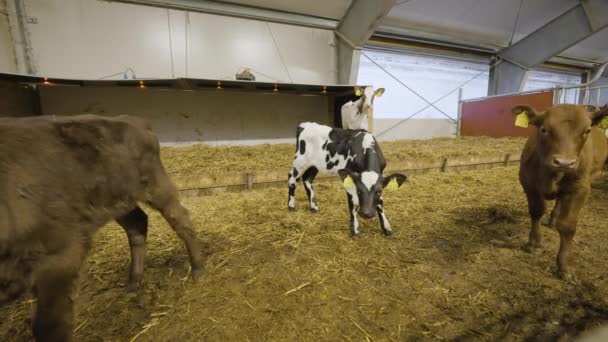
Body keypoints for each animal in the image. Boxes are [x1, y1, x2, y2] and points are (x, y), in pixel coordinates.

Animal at [0, 115, 204, 342]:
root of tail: (134, 120)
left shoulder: (59, 258)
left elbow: (50, 326)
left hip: (154, 186)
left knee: (180, 218)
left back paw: (198, 269)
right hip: (119, 201)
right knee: (137, 224)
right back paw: (133, 285)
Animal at [512, 103, 608, 278]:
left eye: (587, 131)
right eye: (543, 129)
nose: (565, 162)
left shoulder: (580, 189)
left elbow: (567, 226)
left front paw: (564, 265)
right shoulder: (528, 183)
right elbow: (536, 212)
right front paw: (534, 244)